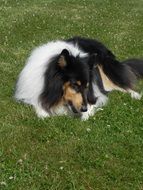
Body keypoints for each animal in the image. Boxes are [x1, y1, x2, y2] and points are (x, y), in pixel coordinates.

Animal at [14, 37, 143, 120]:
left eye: (86, 86)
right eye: (75, 85)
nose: (84, 109)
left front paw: (87, 114)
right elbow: (42, 112)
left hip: (107, 70)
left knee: (123, 84)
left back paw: (136, 95)